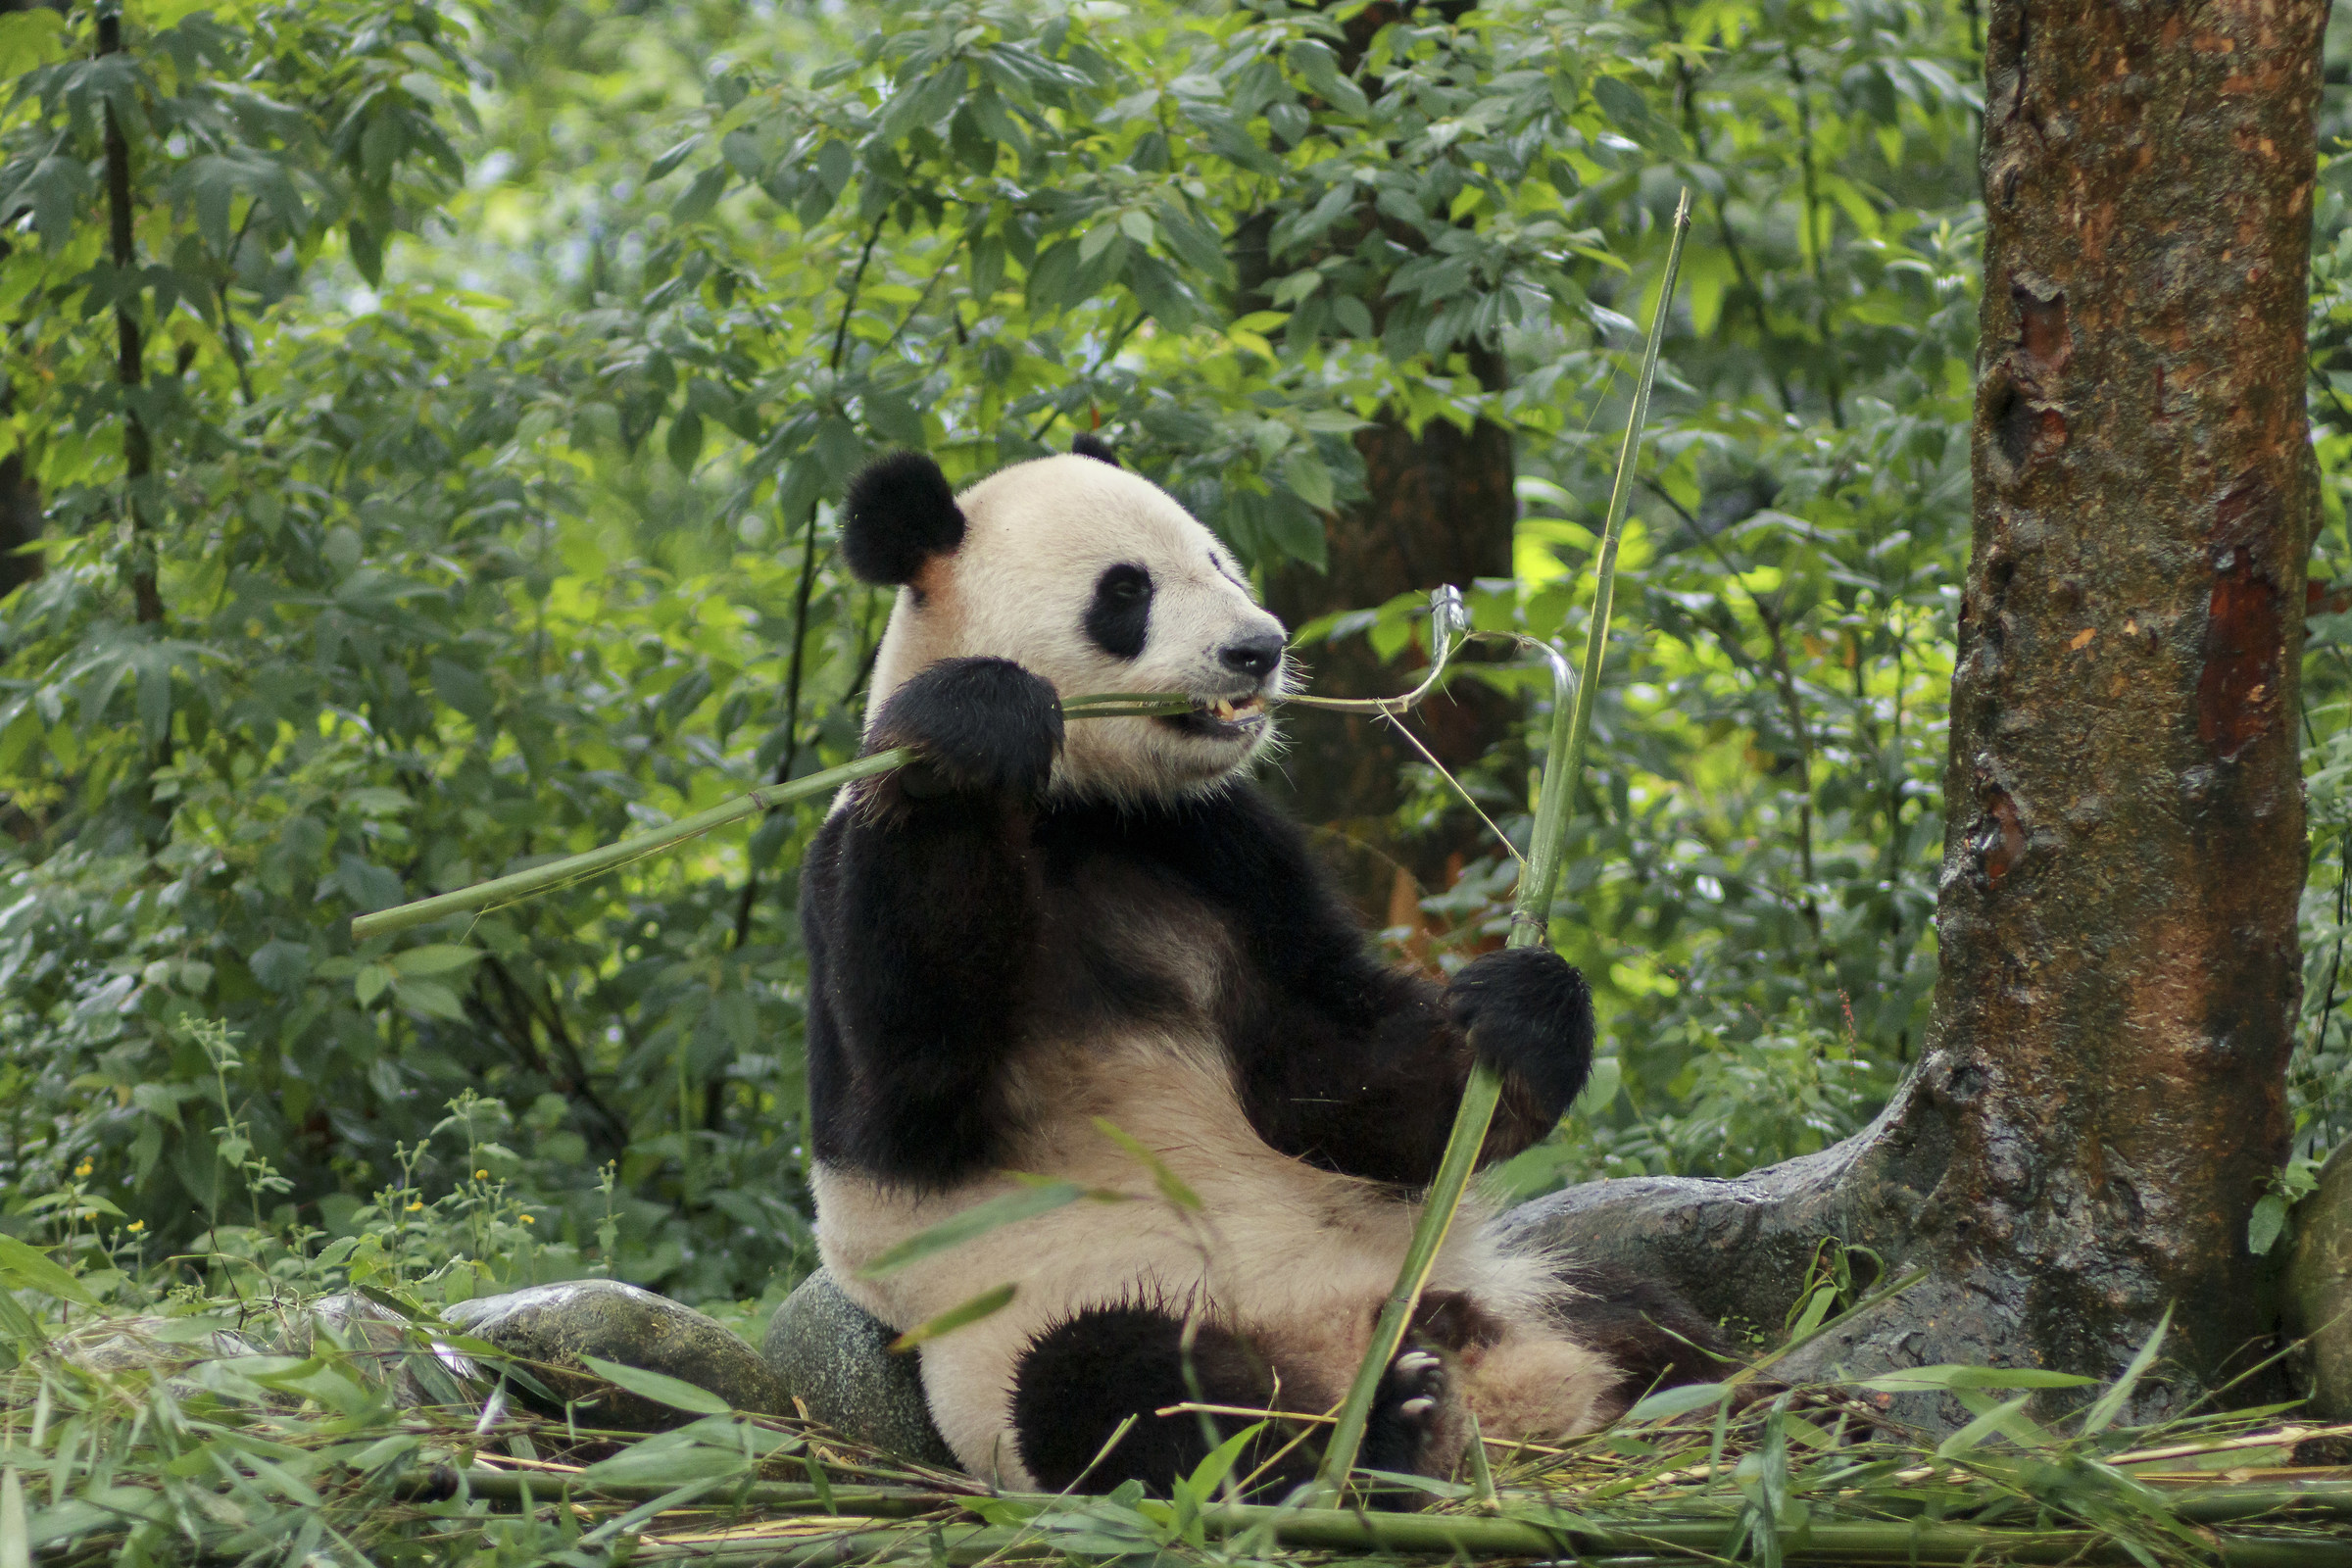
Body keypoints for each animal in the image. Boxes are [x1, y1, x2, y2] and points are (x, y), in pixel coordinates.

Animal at [800, 436, 1717, 1496]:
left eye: (1220, 563)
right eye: (1126, 590)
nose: (1259, 648)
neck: (1082, 809)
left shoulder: (1217, 850)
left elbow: (1328, 1076)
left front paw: (1519, 1014)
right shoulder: (847, 881)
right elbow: (909, 1092)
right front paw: (976, 732)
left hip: (1483, 1275)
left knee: (1635, 1303)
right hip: (1051, 1336)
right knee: (1125, 1392)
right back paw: (1384, 1436)